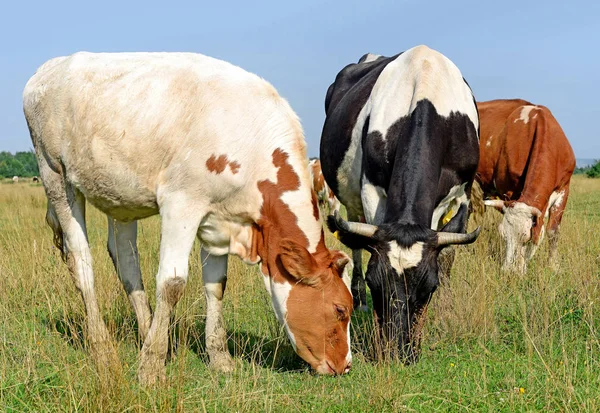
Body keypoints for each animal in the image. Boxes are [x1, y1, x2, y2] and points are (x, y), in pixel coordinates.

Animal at [23, 51, 354, 384]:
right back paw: (103, 348)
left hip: (119, 195)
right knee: (81, 261)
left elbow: (216, 284)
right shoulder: (180, 202)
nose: (346, 366)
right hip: (55, 176)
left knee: (126, 260)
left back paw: (149, 333)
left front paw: (219, 358)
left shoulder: (219, 219)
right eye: (340, 309)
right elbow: (172, 283)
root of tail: (48, 67)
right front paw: (151, 368)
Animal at [322, 45, 480, 360]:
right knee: (354, 242)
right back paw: (358, 299)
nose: (397, 352)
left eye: (429, 287)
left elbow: (447, 254)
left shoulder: (460, 193)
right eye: (375, 282)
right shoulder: (371, 190)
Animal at [474, 98, 576, 272]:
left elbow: (553, 232)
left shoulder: (564, 189)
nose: (507, 271)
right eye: (503, 236)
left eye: (526, 237)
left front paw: (553, 266)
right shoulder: (510, 190)